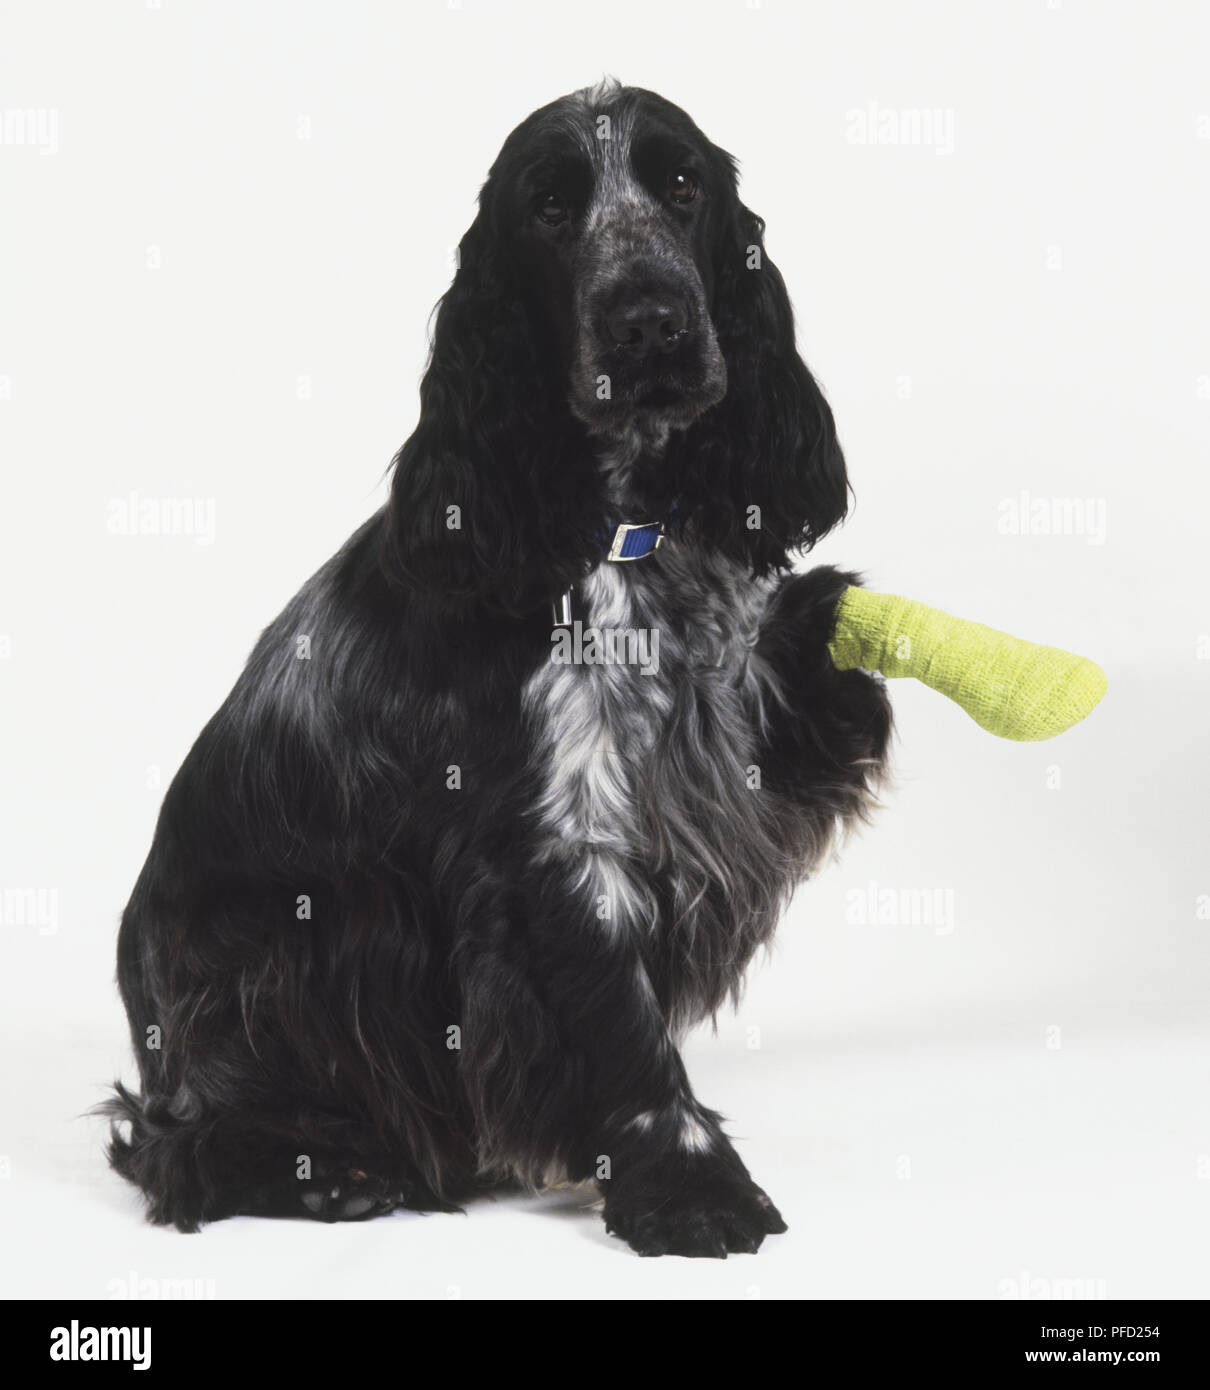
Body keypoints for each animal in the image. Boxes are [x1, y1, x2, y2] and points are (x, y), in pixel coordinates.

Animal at [104, 84, 889, 1262]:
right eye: (551, 209)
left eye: (681, 184)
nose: (650, 321)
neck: (620, 529)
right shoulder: (552, 844)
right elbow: (622, 1027)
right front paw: (695, 1190)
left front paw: (826, 630)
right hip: (264, 970)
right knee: (177, 1145)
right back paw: (334, 1174)